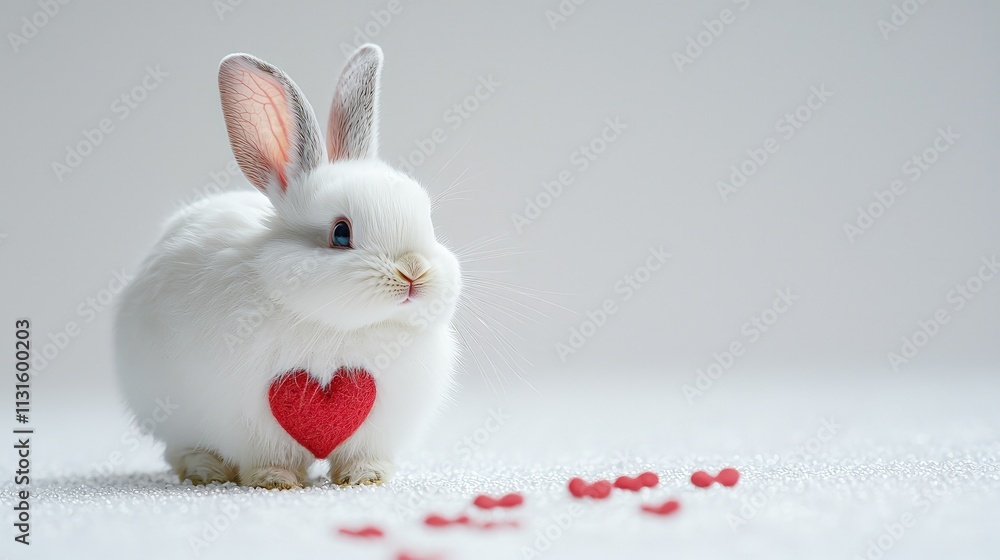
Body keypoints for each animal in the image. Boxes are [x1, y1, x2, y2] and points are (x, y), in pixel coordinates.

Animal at [114, 44, 462, 489]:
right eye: (341, 234)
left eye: (427, 218)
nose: (413, 271)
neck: (338, 327)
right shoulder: (252, 420)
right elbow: (268, 456)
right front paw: (275, 481)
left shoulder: (379, 427)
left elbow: (364, 455)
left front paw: (366, 478)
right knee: (182, 448)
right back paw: (206, 471)